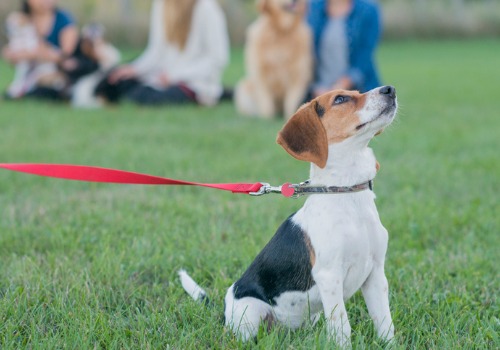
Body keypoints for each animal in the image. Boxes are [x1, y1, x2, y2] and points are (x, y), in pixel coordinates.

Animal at [180, 86, 398, 346]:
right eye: (341, 99)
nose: (389, 89)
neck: (346, 192)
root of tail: (223, 311)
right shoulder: (329, 276)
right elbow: (342, 327)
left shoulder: (376, 274)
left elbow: (385, 323)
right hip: (250, 312)